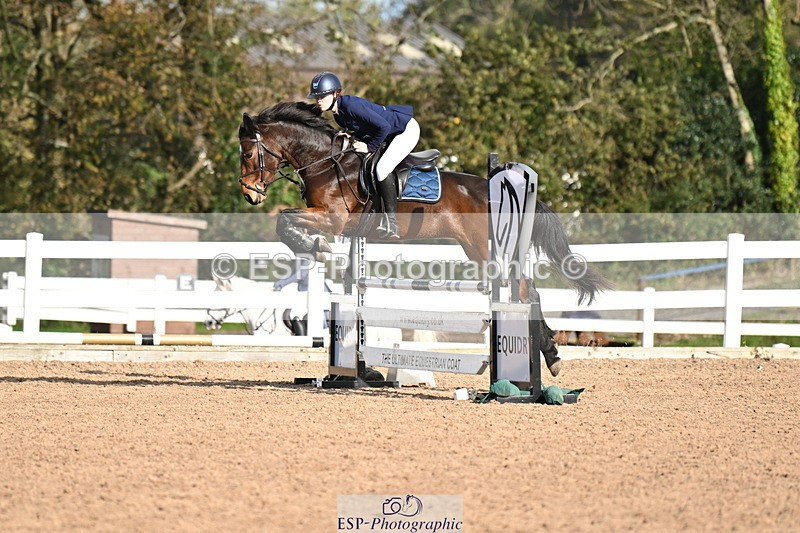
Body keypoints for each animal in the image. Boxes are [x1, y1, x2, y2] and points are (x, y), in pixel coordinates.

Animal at [238, 101, 608, 376]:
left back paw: (549, 357)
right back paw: (550, 356)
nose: (250, 195)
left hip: (486, 250)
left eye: (247, 154)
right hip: (475, 249)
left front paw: (315, 247)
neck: (325, 163)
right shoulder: (338, 224)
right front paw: (314, 247)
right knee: (526, 289)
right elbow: (288, 224)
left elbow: (284, 221)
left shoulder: (334, 218)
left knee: (523, 289)